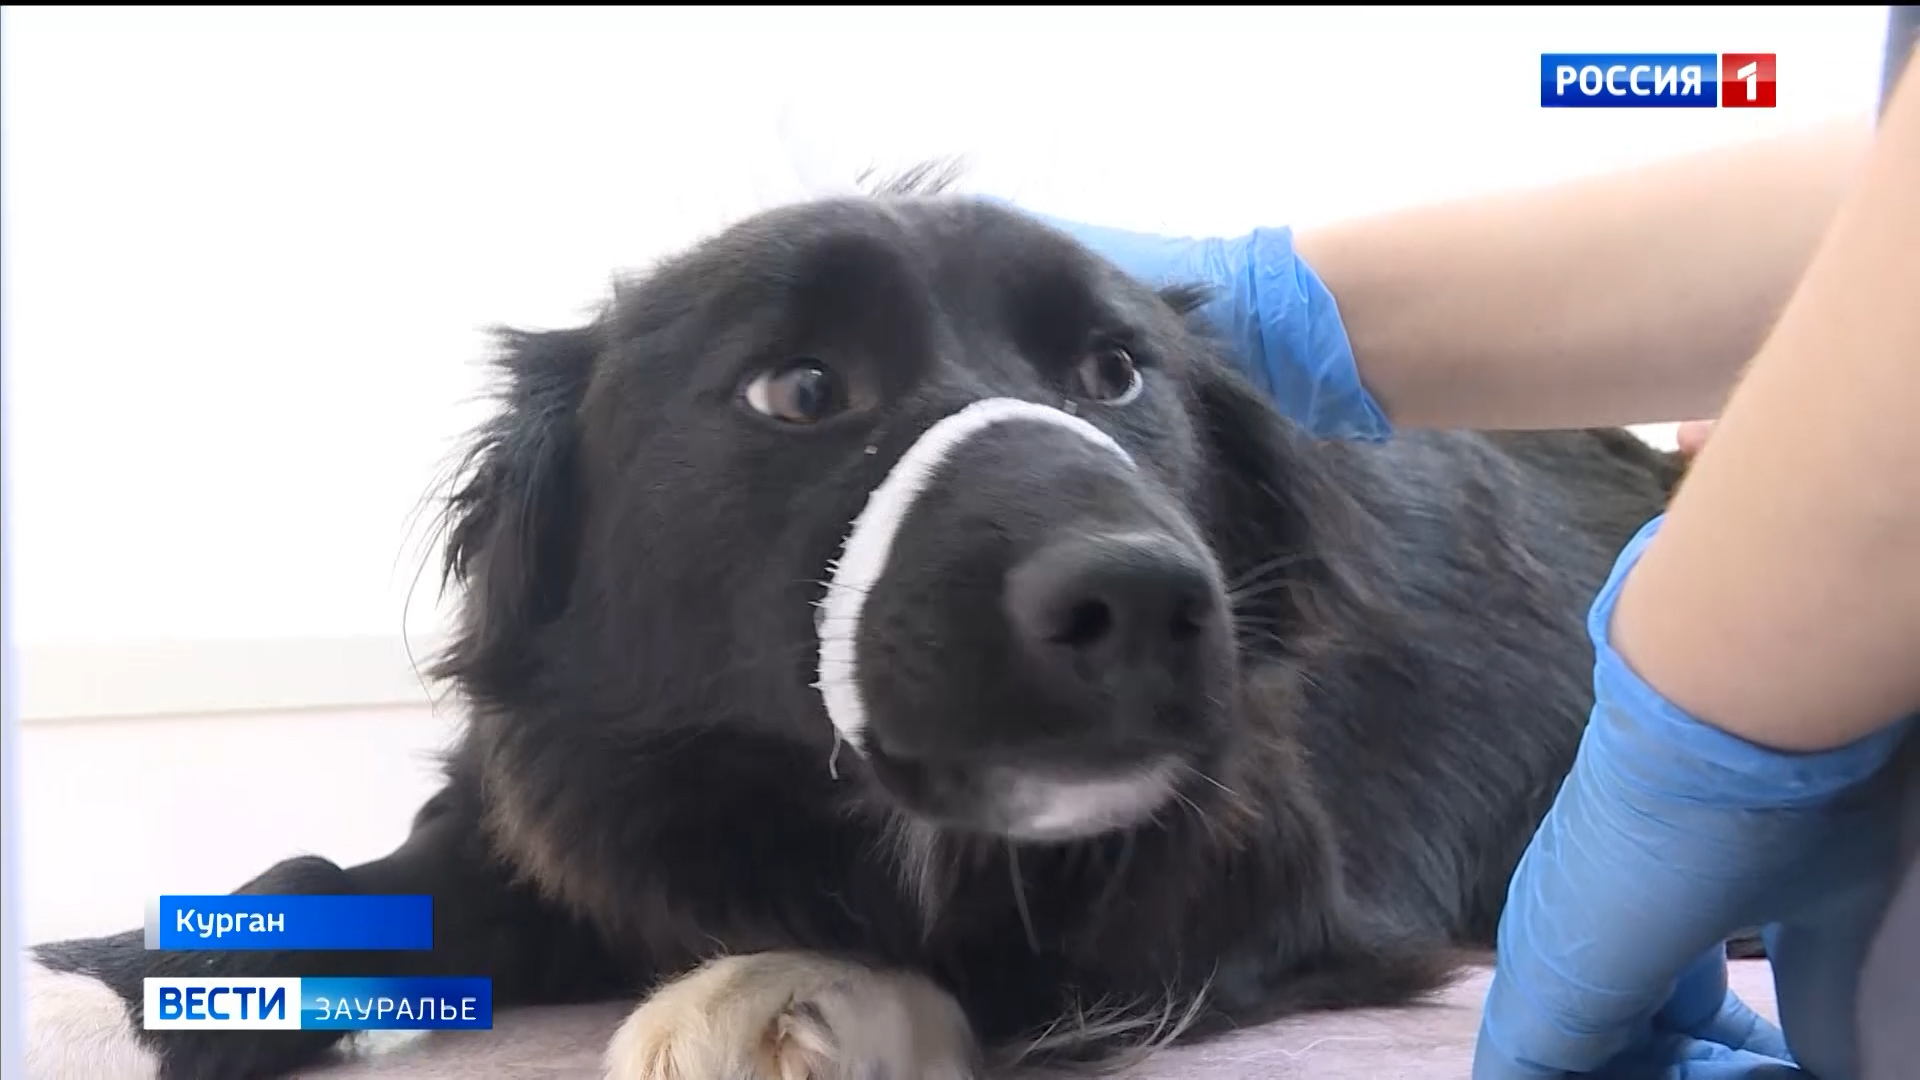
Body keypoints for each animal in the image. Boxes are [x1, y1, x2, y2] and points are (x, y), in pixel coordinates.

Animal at [26, 167, 1695, 1079]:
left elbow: (993, 958)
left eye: (1116, 375)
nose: (1156, 603)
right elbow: (341, 873)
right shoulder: (571, 806)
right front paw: (183, 960)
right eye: (801, 389)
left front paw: (779, 990)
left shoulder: (1260, 884)